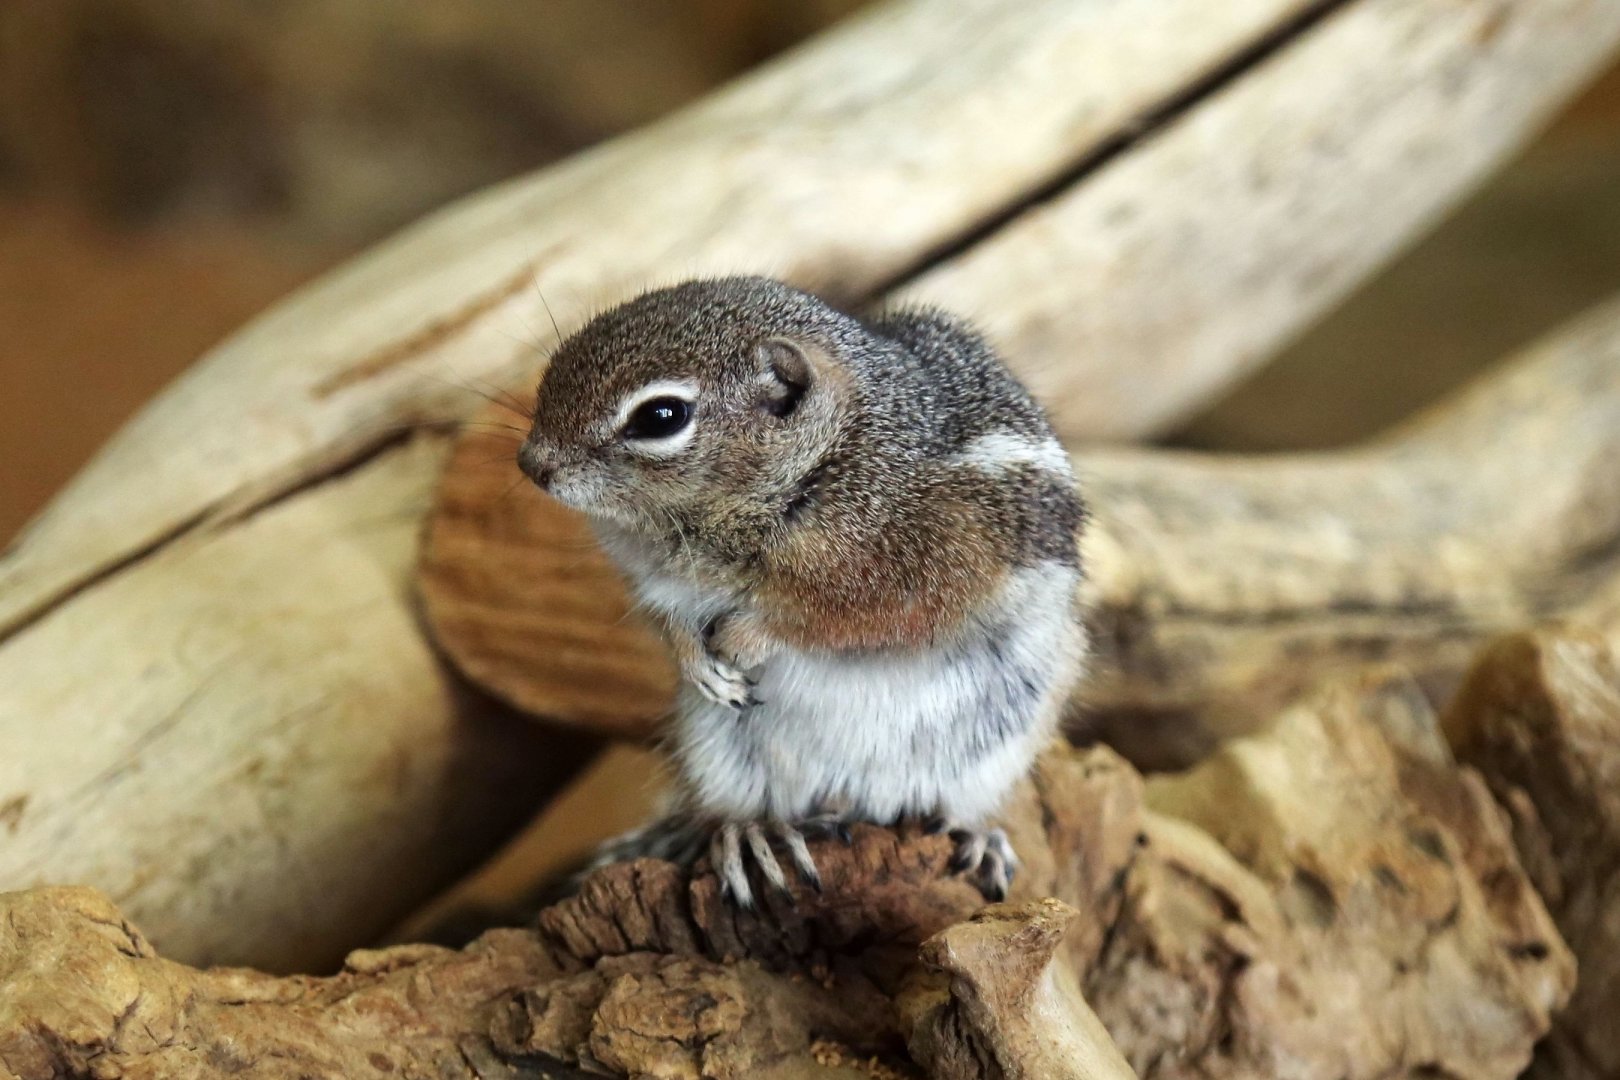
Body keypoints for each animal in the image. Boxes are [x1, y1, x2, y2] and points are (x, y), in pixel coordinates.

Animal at [519, 276, 1087, 906]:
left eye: (661, 415)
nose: (531, 464)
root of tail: (859, 804)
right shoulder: (655, 582)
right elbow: (671, 624)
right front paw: (700, 662)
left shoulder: (931, 568)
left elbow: (839, 619)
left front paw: (746, 638)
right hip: (715, 749)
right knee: (732, 811)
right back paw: (757, 834)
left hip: (999, 747)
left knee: (960, 806)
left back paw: (978, 835)